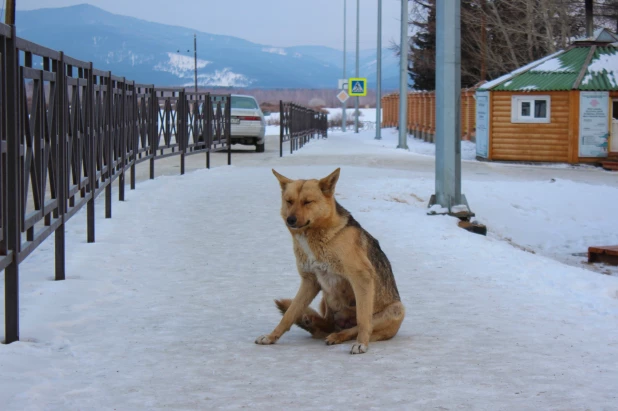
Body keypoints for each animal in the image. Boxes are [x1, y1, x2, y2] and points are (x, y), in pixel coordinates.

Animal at [253, 169, 402, 356]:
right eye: (289, 201)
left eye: (307, 202)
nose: (290, 220)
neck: (317, 237)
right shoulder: (310, 281)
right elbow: (289, 314)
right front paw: (272, 336)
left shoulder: (362, 278)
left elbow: (362, 319)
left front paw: (362, 343)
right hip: (325, 299)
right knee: (327, 324)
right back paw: (317, 325)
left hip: (396, 309)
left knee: (352, 329)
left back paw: (338, 336)